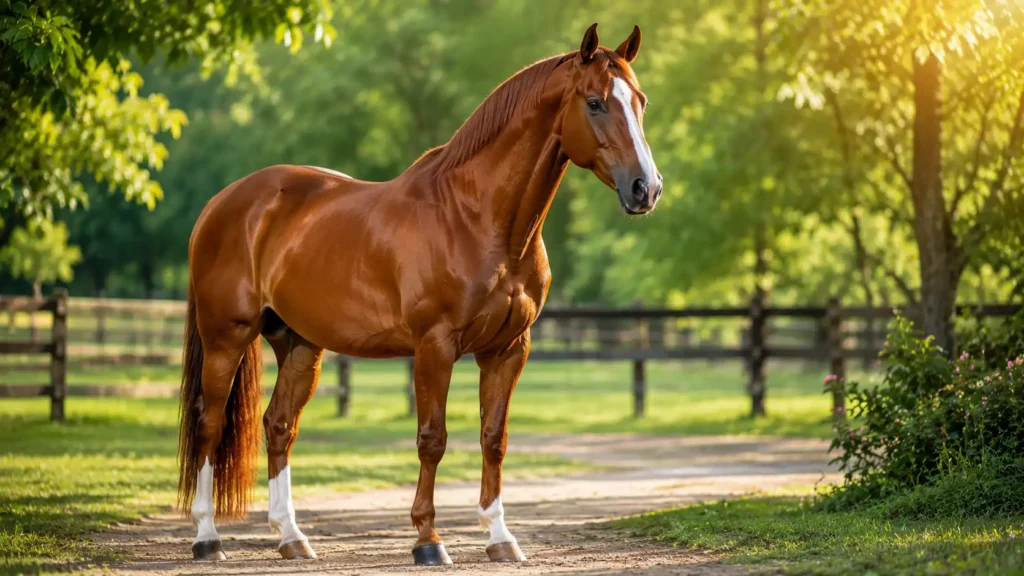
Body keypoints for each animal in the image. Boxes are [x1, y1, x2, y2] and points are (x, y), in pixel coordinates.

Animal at [176, 22, 661, 566]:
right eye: (595, 102)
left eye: (640, 100)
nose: (646, 188)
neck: (476, 218)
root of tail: (222, 203)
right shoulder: (435, 346)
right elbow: (433, 439)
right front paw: (428, 541)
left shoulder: (508, 350)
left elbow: (494, 439)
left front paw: (500, 538)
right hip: (227, 337)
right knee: (209, 423)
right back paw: (207, 538)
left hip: (299, 345)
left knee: (279, 426)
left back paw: (292, 538)